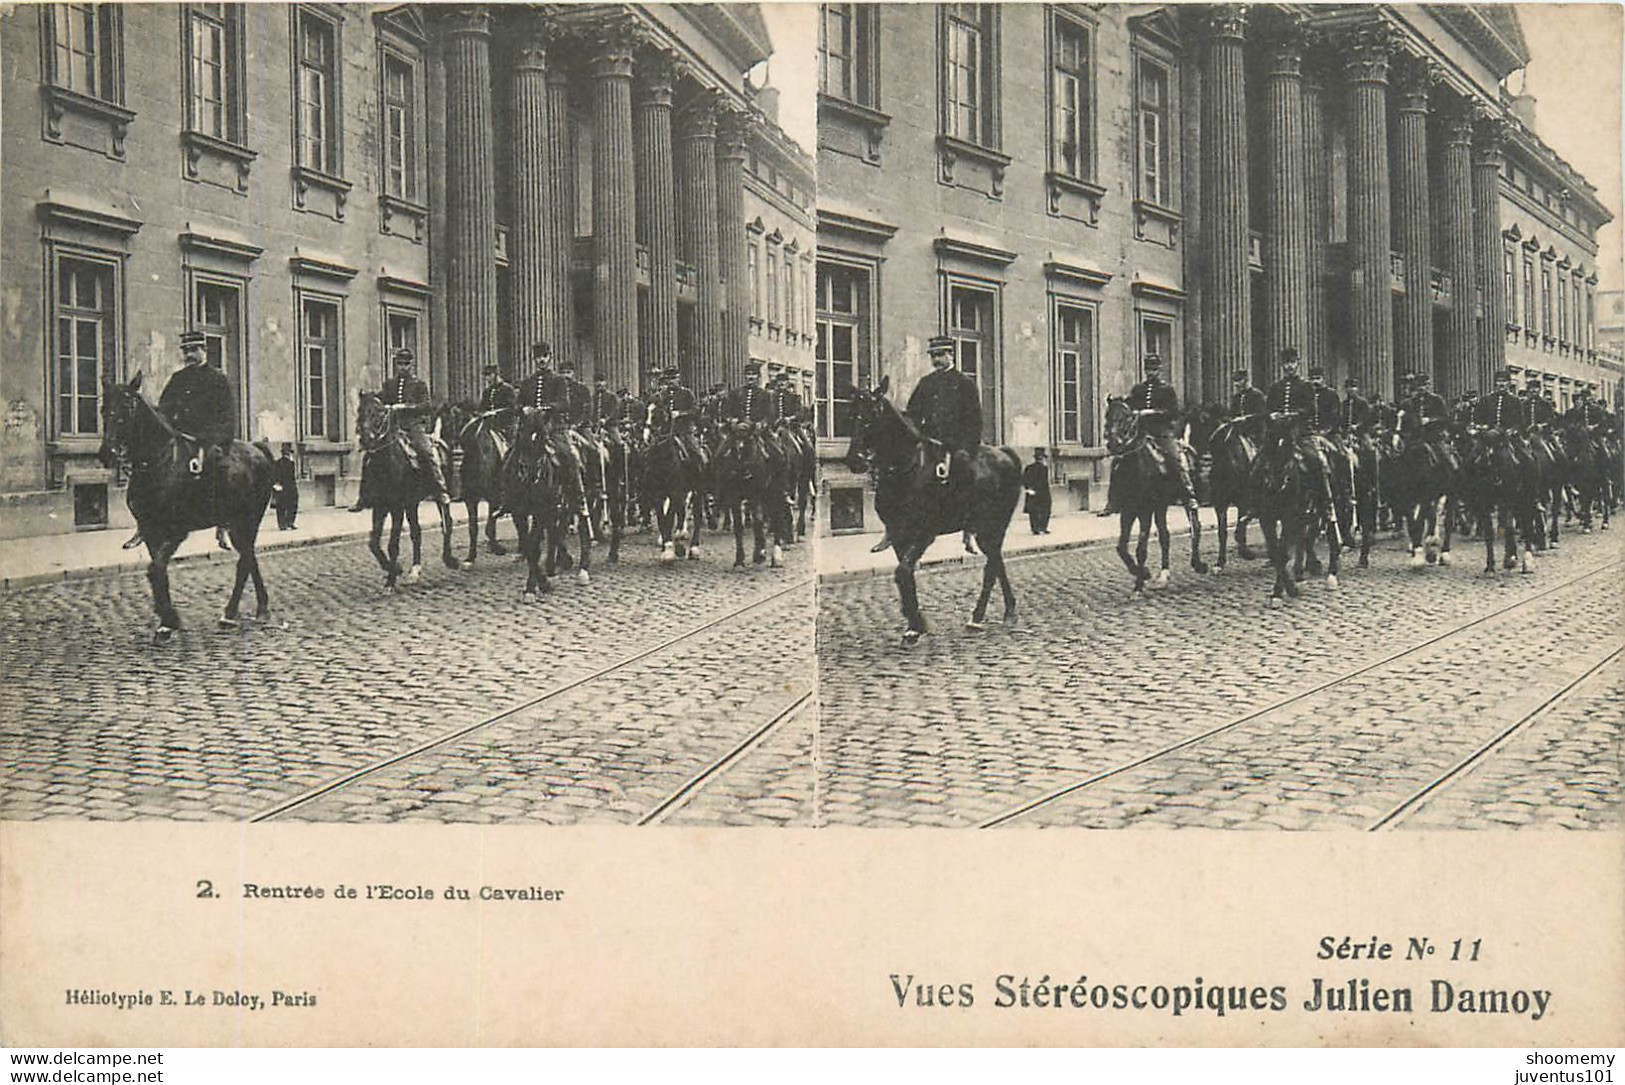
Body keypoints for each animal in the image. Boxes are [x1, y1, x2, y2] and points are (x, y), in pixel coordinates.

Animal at [99, 375, 276, 639]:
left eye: (128, 407)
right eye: (103, 409)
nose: (106, 453)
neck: (158, 462)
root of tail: (258, 450)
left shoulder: (176, 531)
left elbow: (155, 568)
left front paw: (169, 618)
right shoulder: (151, 531)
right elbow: (158, 570)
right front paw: (166, 619)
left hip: (248, 519)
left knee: (245, 560)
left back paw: (231, 612)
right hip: (238, 524)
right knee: (249, 555)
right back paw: (258, 607)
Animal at [354, 394, 455, 587]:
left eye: (379, 413)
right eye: (359, 411)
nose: (366, 439)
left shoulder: (397, 508)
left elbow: (392, 544)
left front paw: (391, 579)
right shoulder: (380, 507)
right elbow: (373, 543)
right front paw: (394, 569)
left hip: (438, 497)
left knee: (447, 522)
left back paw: (450, 559)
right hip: (412, 503)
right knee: (416, 532)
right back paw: (415, 571)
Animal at [845, 376, 1020, 643]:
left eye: (873, 413)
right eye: (850, 412)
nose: (855, 460)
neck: (908, 467)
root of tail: (1004, 453)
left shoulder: (923, 533)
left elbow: (902, 572)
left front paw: (916, 623)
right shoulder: (899, 534)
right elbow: (905, 574)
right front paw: (915, 621)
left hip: (995, 524)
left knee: (992, 566)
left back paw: (978, 616)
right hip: (985, 529)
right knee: (996, 560)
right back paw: (1008, 609)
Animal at [1105, 397, 1209, 594]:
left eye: (1127, 417)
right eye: (1107, 415)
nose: (1113, 442)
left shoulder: (1145, 510)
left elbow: (1141, 549)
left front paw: (1139, 583)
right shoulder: (1128, 510)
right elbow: (1121, 547)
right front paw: (1142, 573)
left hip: (1185, 496)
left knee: (1195, 526)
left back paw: (1198, 564)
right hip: (1161, 505)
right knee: (1164, 535)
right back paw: (1163, 576)